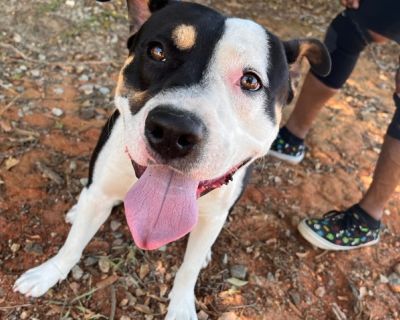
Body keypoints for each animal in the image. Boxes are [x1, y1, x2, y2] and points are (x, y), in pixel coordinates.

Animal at [13, 1, 332, 318]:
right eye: (157, 52)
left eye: (251, 81)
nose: (172, 131)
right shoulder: (100, 190)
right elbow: (73, 243)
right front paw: (49, 272)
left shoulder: (214, 216)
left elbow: (189, 269)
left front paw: (180, 305)